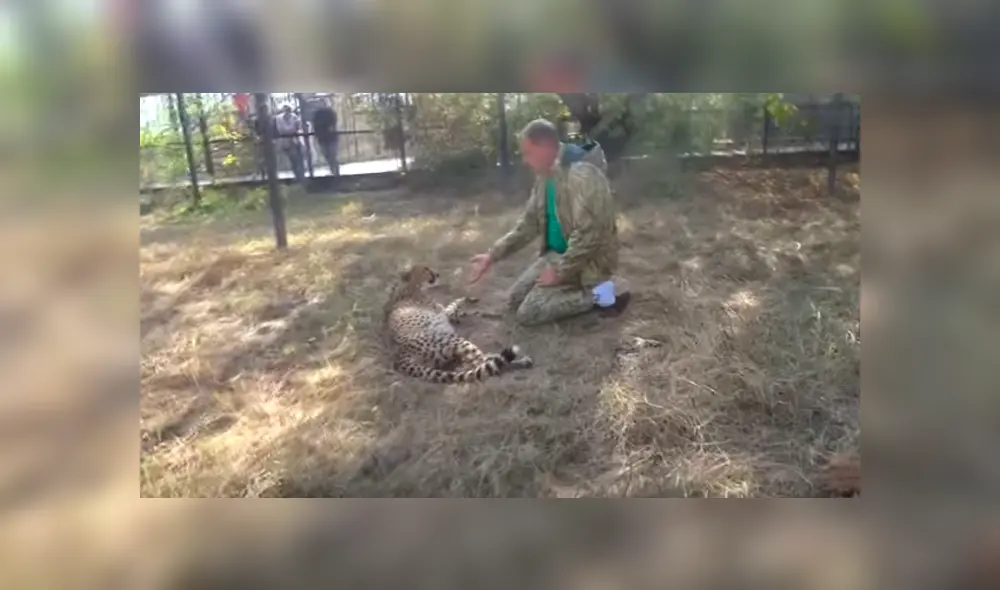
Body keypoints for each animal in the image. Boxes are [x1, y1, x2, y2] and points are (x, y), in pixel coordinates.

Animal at [382, 265, 533, 383]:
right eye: (426, 269)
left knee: (475, 363)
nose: (437, 274)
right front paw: (474, 302)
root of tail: (400, 356)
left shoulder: (448, 314)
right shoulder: (445, 313)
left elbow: (461, 308)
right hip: (453, 340)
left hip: (446, 355)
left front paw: (476, 304)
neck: (410, 287)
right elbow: (456, 304)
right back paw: (519, 362)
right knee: (481, 364)